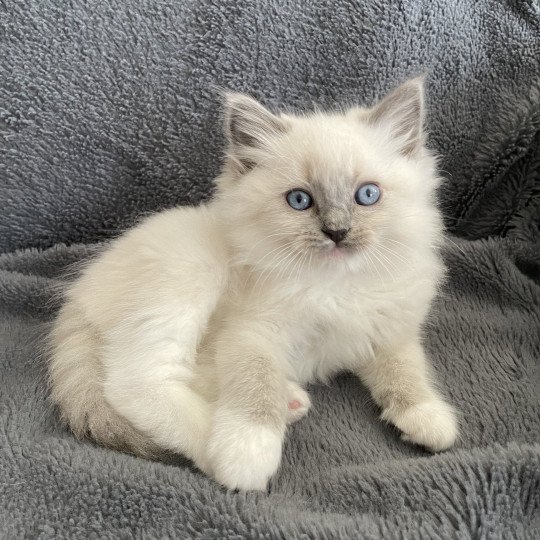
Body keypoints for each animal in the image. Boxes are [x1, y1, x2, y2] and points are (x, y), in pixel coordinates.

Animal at [48, 78, 458, 492]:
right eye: (300, 200)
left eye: (367, 195)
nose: (337, 232)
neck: (335, 287)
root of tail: (82, 288)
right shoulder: (251, 333)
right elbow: (255, 387)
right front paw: (247, 452)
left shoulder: (387, 332)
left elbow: (407, 373)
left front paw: (429, 419)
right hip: (188, 277)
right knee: (136, 383)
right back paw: (218, 447)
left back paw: (290, 401)